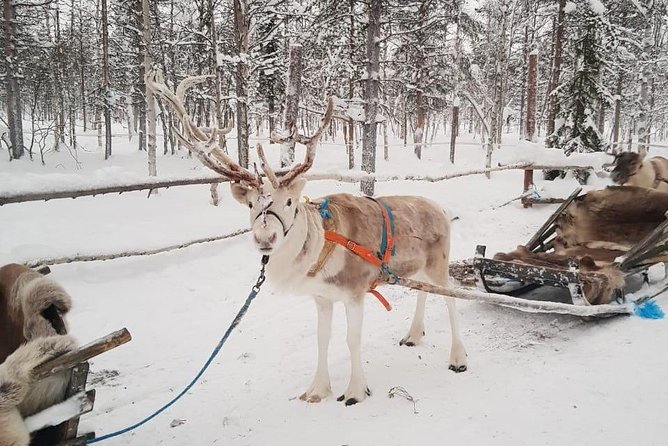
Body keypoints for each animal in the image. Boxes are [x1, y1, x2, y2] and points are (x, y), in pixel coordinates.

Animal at [147, 69, 468, 405]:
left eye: (289, 202)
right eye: (250, 204)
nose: (265, 237)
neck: (320, 248)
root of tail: (442, 209)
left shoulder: (354, 293)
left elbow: (352, 340)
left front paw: (355, 390)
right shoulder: (322, 297)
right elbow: (322, 339)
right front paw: (317, 389)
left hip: (439, 262)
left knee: (450, 298)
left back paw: (458, 358)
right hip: (417, 267)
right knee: (424, 292)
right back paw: (413, 335)